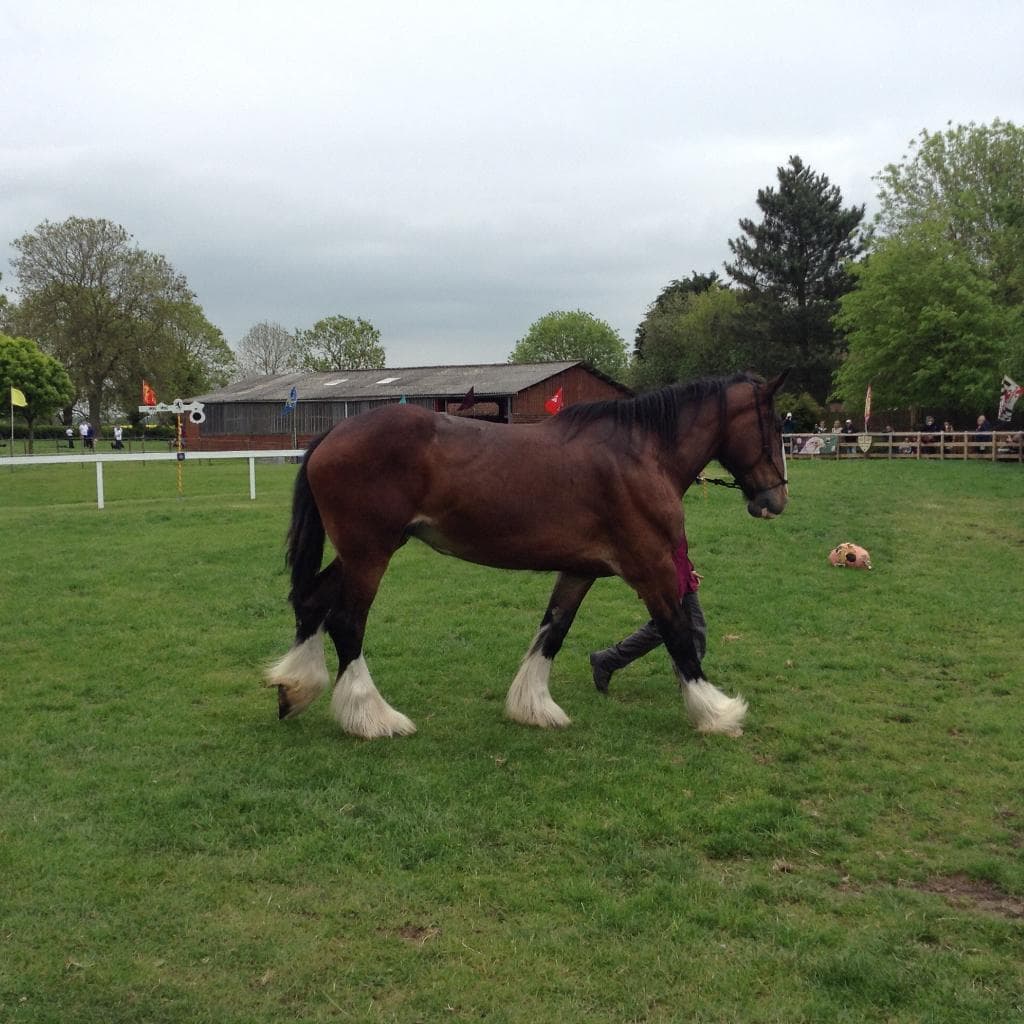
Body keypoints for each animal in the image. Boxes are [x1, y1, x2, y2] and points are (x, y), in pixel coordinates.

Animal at [266, 370, 789, 740]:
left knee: (312, 602)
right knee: (346, 621)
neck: (640, 454)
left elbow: (553, 629)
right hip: (370, 553)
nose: (775, 499)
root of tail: (332, 436)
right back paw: (373, 717)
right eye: (771, 424)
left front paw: (533, 707)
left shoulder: (579, 570)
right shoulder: (651, 566)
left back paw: (295, 690)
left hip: (367, 550)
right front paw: (715, 711)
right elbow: (678, 632)